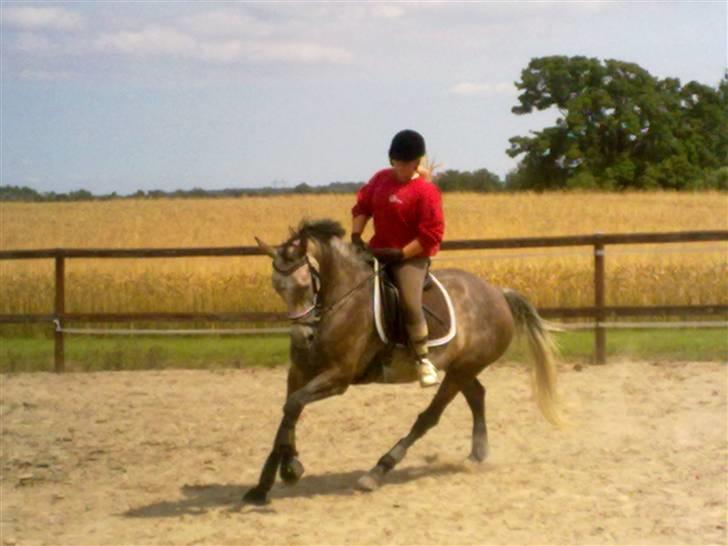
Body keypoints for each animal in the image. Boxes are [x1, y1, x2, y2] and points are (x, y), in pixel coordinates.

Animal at [245, 219, 564, 504]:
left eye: (304, 285)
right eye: (277, 288)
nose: (302, 337)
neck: (338, 302)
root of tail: (497, 293)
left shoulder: (338, 377)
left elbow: (293, 405)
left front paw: (291, 468)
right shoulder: (299, 372)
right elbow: (288, 412)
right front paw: (264, 485)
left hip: (462, 369)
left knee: (429, 417)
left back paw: (378, 471)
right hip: (459, 367)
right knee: (476, 395)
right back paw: (477, 454)